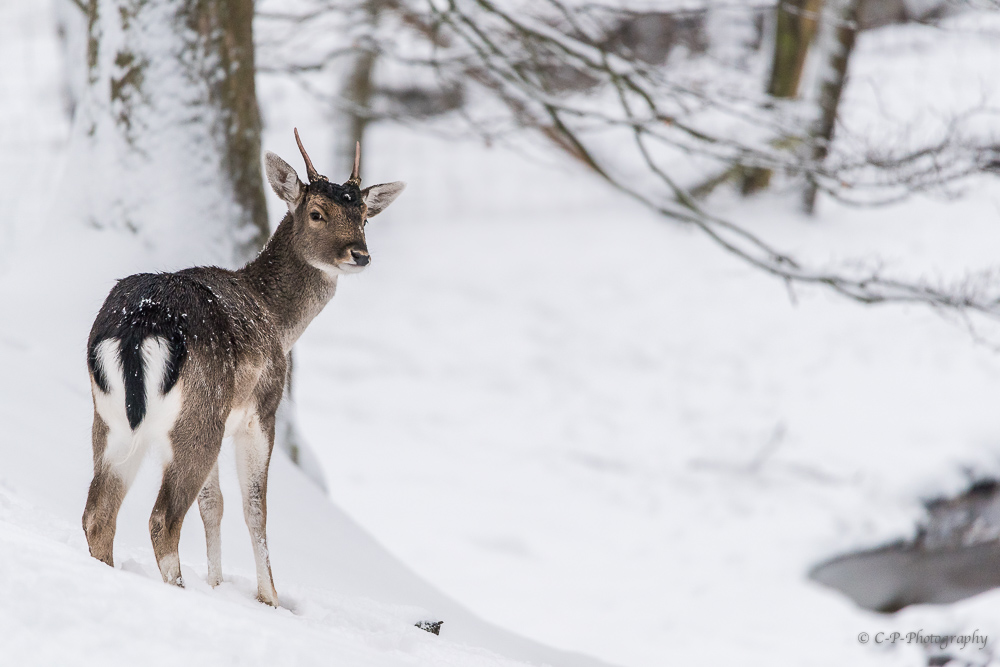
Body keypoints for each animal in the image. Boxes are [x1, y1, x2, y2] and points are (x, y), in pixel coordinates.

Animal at [81, 130, 402, 604]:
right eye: (317, 213)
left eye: (363, 215)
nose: (358, 254)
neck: (278, 321)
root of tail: (138, 328)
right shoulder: (261, 412)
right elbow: (256, 510)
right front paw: (270, 598)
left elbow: (214, 505)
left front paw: (218, 584)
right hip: (199, 417)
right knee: (162, 518)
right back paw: (181, 590)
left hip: (110, 422)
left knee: (98, 513)